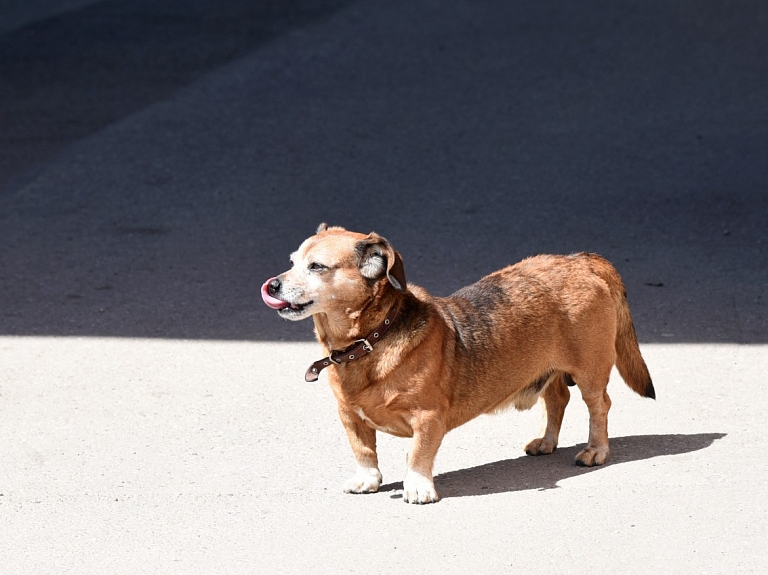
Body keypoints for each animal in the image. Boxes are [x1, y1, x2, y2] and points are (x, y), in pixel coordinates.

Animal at [262, 224, 656, 504]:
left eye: (317, 267)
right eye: (293, 261)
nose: (273, 285)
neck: (371, 340)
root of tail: (582, 260)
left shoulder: (427, 418)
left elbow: (417, 454)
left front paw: (417, 487)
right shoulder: (349, 416)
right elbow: (363, 449)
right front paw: (368, 479)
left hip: (589, 371)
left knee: (599, 406)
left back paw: (595, 450)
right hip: (548, 369)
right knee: (558, 399)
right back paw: (546, 442)